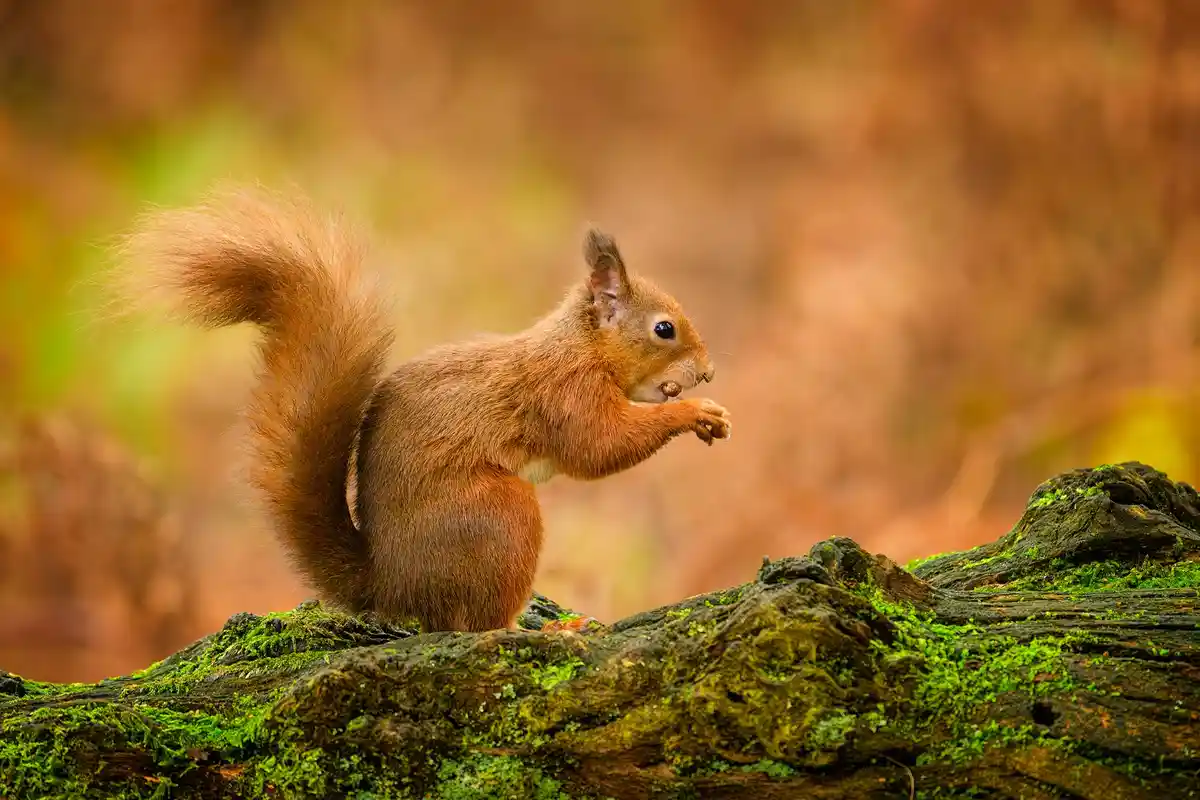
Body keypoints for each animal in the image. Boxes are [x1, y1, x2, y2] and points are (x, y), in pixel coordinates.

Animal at [119, 187, 731, 634]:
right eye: (664, 329)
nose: (707, 372)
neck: (581, 348)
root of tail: (392, 586)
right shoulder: (564, 393)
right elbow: (599, 447)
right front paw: (696, 412)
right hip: (501, 517)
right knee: (474, 625)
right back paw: (545, 630)